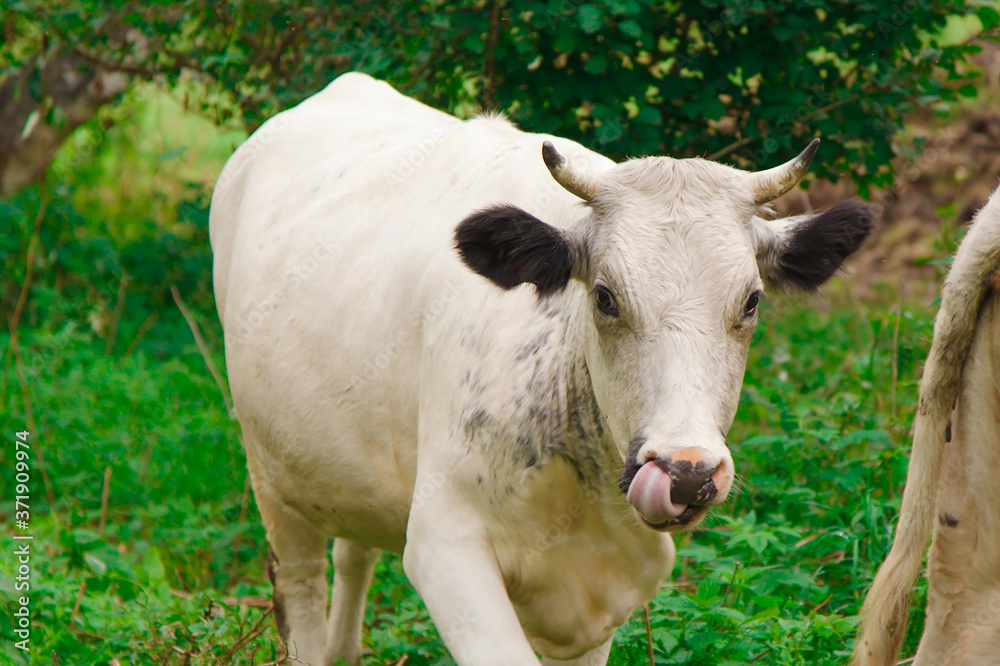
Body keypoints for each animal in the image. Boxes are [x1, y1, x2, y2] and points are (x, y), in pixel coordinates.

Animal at [209, 72, 873, 666]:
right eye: (604, 296)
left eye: (752, 300)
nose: (686, 473)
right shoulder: (445, 544)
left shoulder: (607, 593)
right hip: (273, 477)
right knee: (300, 582)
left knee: (353, 556)